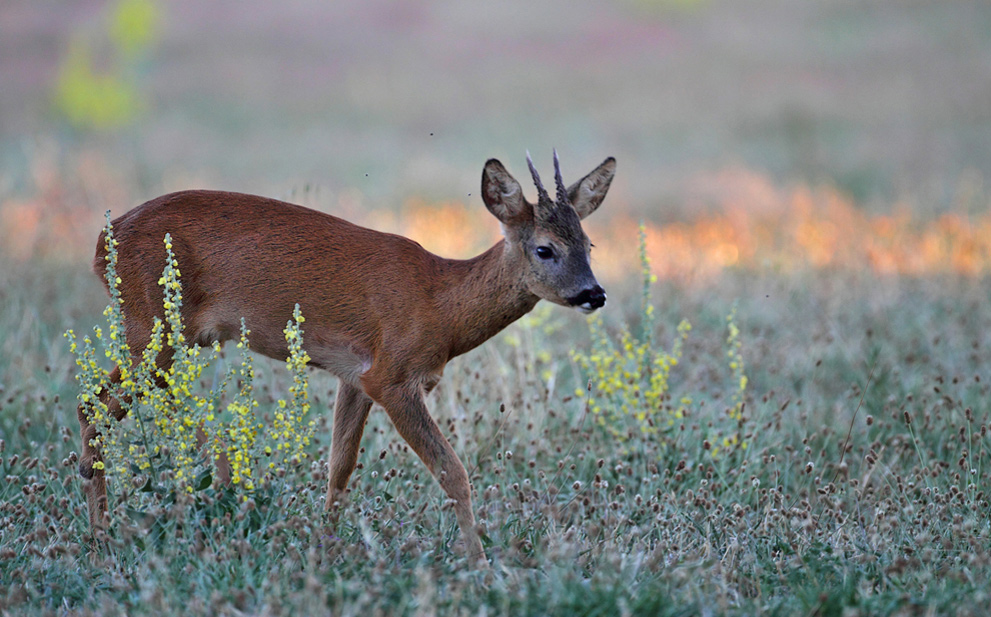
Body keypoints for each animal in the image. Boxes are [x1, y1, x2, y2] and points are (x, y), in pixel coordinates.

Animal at [77, 150, 616, 564]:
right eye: (545, 249)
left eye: (588, 244)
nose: (594, 294)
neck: (439, 304)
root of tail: (102, 242)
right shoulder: (392, 376)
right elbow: (454, 474)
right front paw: (481, 565)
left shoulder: (355, 376)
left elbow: (340, 467)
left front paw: (325, 549)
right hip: (154, 327)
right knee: (93, 405)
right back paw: (108, 536)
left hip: (167, 338)